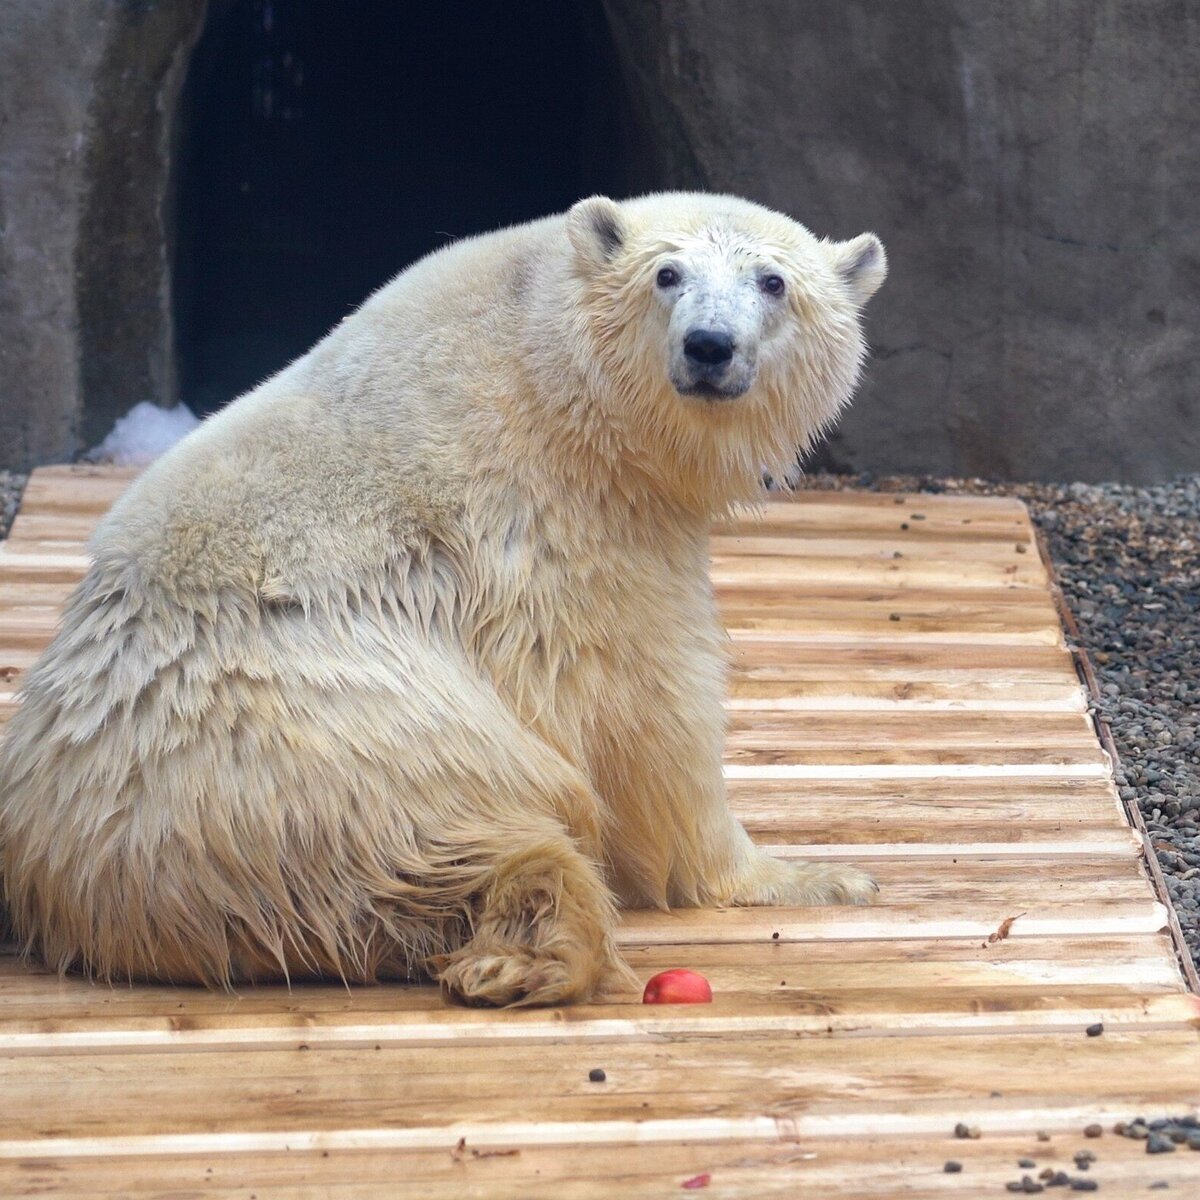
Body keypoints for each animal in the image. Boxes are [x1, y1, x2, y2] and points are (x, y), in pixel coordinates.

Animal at [0, 194, 883, 1003]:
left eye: (772, 281)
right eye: (667, 275)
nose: (709, 345)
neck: (553, 373)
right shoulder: (563, 532)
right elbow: (651, 715)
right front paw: (812, 874)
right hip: (337, 742)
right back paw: (537, 947)